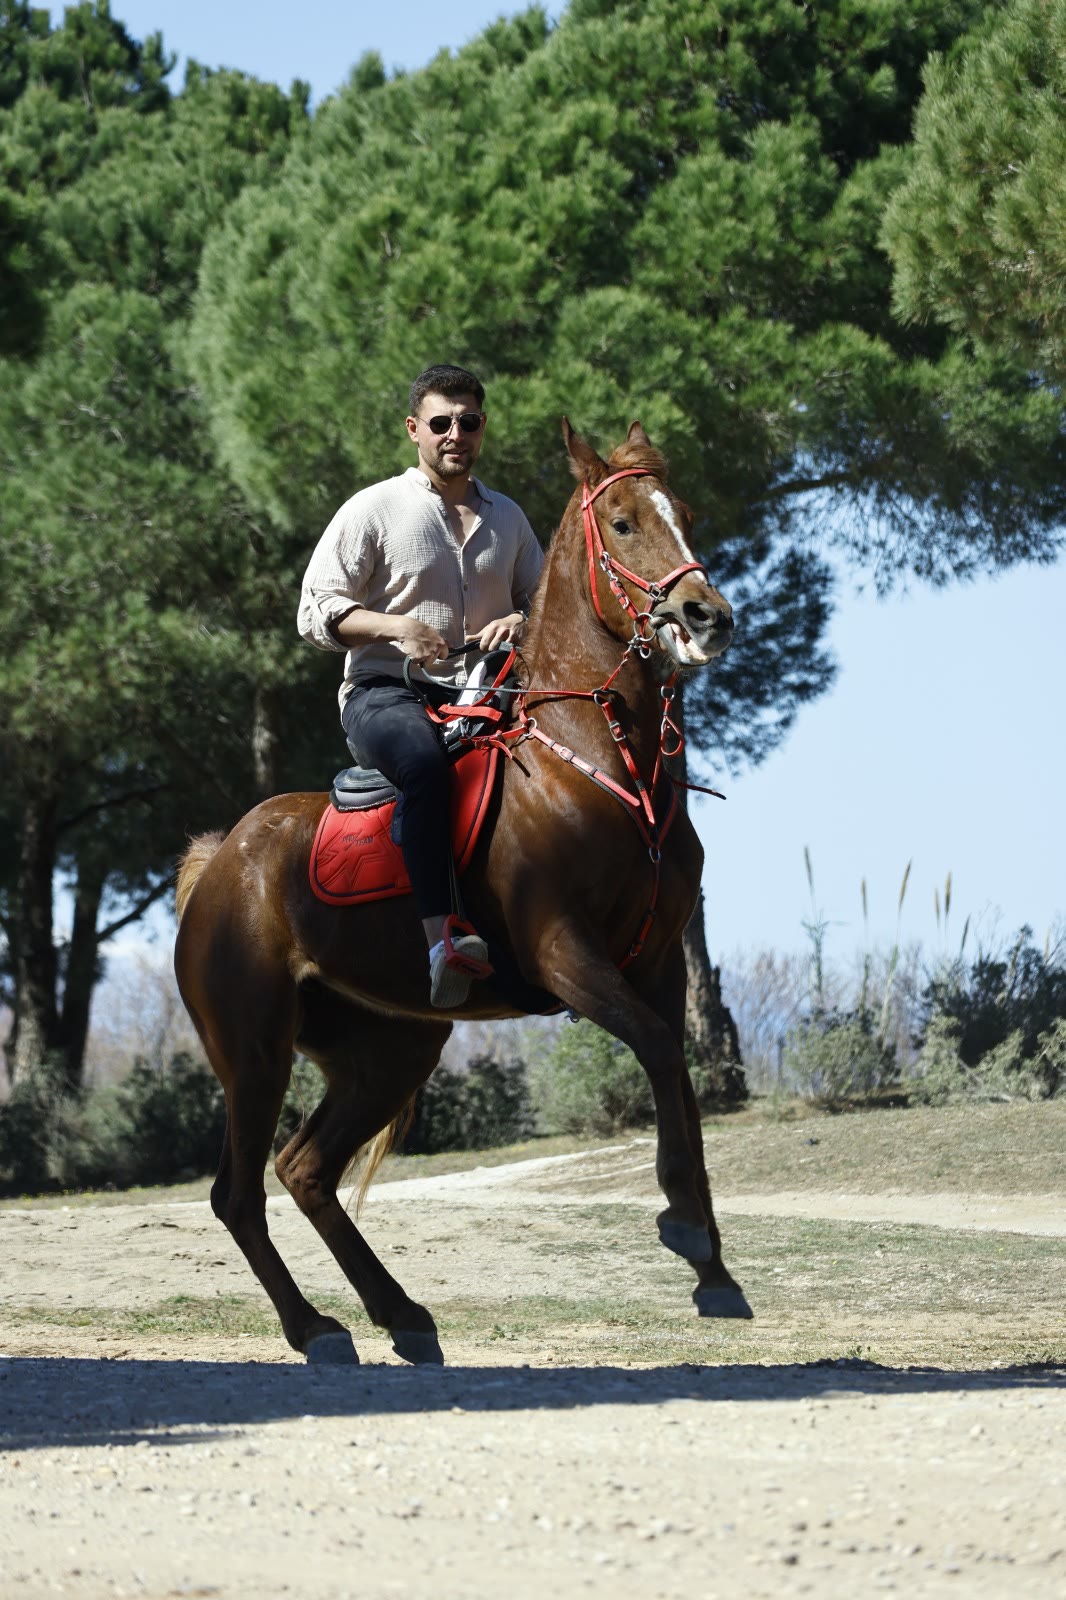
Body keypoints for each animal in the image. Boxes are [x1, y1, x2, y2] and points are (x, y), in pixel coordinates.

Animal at [173, 418, 751, 1366]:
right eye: (623, 522)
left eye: (687, 514)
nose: (706, 616)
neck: (594, 763)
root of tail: (220, 865)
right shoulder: (565, 956)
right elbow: (663, 1052)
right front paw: (689, 1232)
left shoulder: (661, 962)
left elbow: (678, 1071)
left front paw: (713, 1268)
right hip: (253, 1048)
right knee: (238, 1191)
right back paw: (316, 1328)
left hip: (390, 1048)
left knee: (305, 1169)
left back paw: (401, 1313)